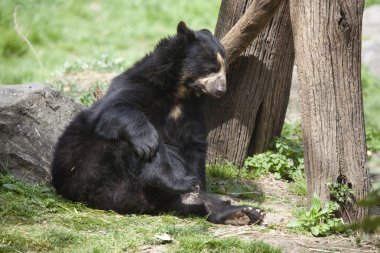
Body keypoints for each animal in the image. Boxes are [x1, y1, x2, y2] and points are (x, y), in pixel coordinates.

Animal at [51, 21, 264, 225]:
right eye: (210, 69)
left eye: (225, 71)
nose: (221, 90)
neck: (179, 92)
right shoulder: (139, 87)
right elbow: (113, 110)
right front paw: (149, 144)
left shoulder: (192, 112)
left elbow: (195, 146)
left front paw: (199, 185)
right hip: (95, 168)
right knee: (132, 150)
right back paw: (179, 182)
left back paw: (243, 212)